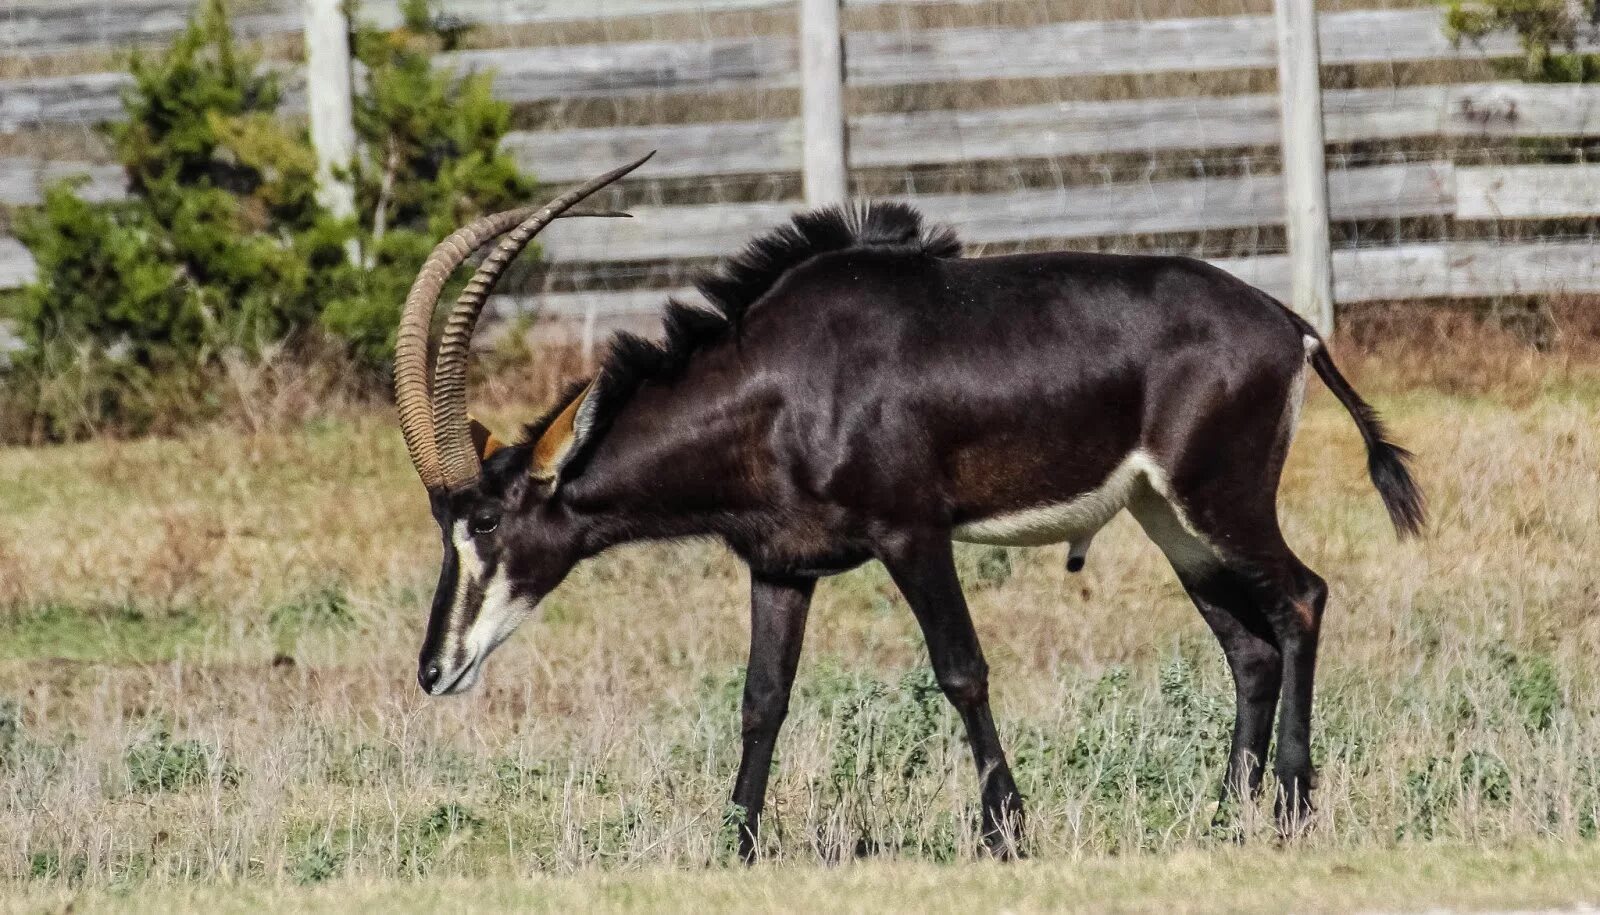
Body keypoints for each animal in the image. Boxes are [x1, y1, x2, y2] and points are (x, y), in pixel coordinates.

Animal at [396, 153, 1427, 863]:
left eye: (485, 521)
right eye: (444, 525)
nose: (433, 670)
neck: (783, 378)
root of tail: (1289, 324)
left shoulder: (912, 534)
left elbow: (961, 670)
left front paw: (1007, 831)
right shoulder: (781, 564)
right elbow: (761, 699)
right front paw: (737, 845)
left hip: (1221, 498)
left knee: (1302, 597)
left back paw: (1292, 806)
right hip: (1169, 519)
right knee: (1247, 643)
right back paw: (1223, 815)